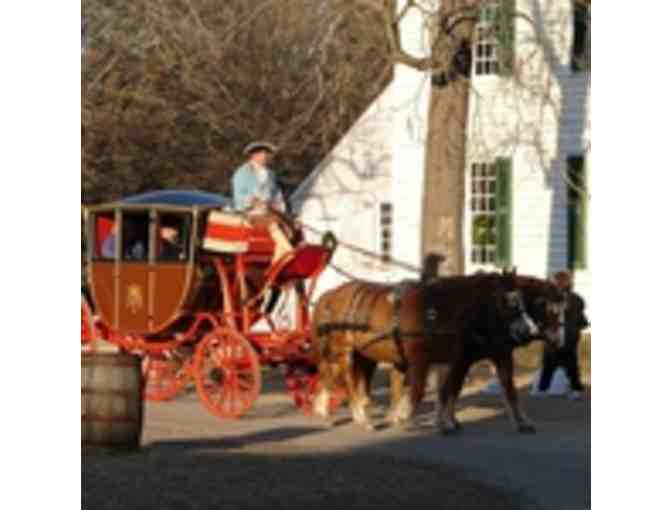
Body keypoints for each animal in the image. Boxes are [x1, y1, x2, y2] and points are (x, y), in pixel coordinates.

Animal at [310, 268, 556, 432]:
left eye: (524, 303)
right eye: (509, 303)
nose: (528, 330)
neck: (436, 312)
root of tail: (330, 295)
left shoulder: (471, 357)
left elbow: (455, 390)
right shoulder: (425, 360)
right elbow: (420, 391)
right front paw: (404, 416)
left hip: (363, 355)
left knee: (336, 377)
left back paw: (335, 410)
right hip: (345, 351)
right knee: (346, 381)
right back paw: (359, 417)